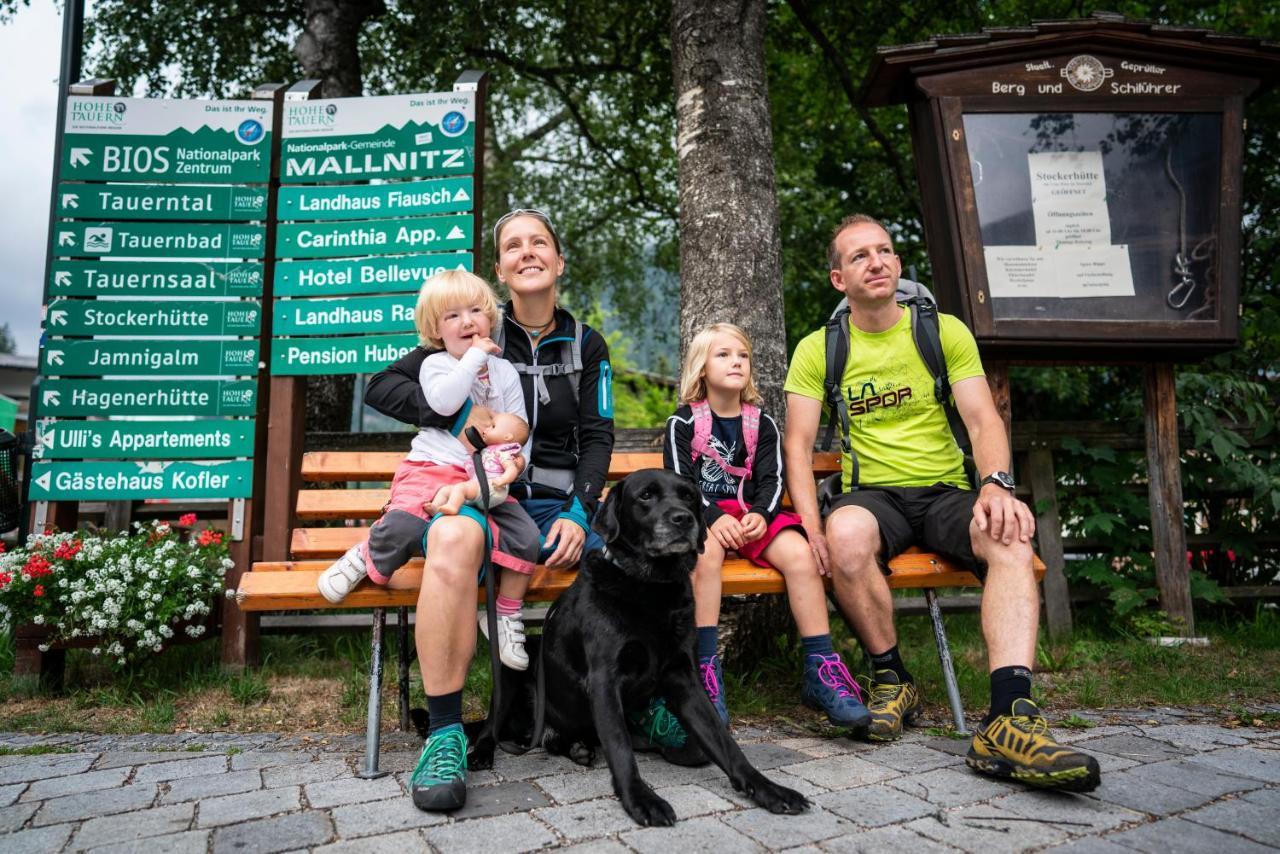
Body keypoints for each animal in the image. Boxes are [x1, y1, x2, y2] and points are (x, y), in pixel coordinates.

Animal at [471, 468, 808, 829]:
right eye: (646, 496)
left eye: (689, 495)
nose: (684, 519)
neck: (651, 588)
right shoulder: (604, 681)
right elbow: (620, 748)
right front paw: (640, 799)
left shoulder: (684, 678)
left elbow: (723, 742)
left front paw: (767, 788)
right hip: (512, 670)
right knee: (490, 727)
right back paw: (483, 752)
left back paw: (576, 746)